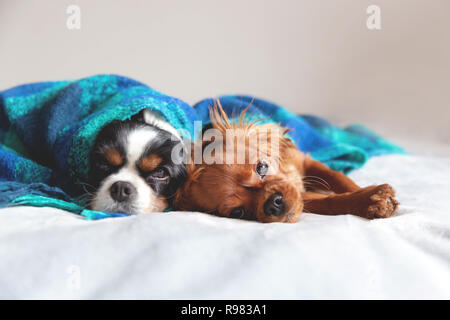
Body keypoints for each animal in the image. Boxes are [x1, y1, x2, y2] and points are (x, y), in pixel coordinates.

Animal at [174, 102, 400, 222]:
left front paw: (370, 193)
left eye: (261, 167)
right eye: (238, 212)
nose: (273, 204)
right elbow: (326, 201)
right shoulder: (302, 197)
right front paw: (367, 201)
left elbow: (339, 178)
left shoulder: (306, 161)